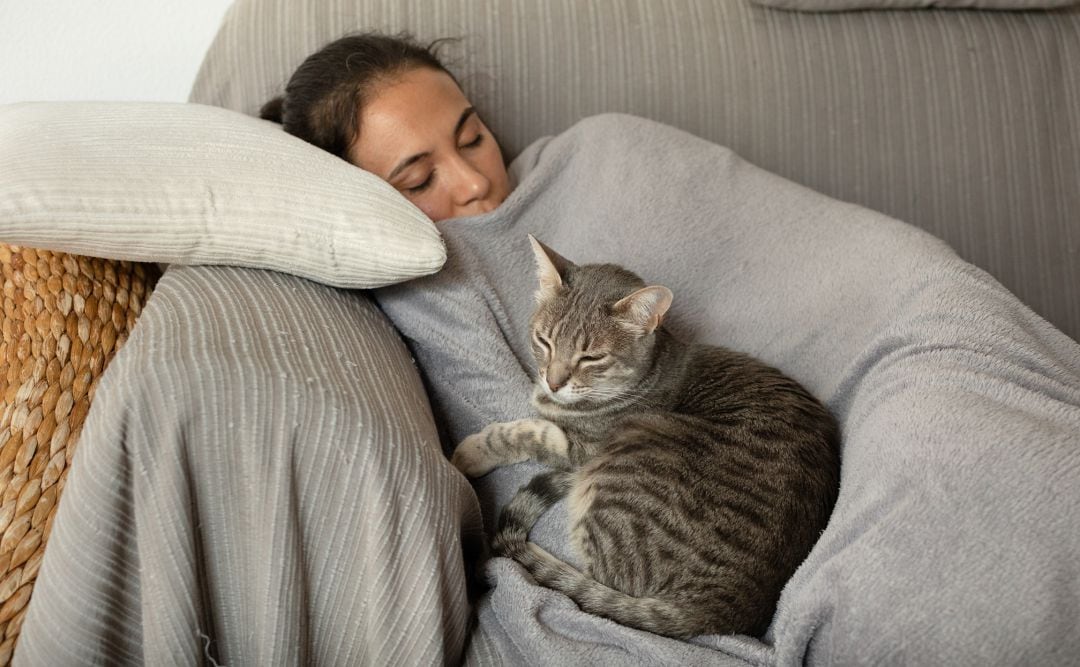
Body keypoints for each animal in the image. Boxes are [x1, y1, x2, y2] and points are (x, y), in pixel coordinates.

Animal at [451, 236, 838, 634]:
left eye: (591, 358)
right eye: (544, 341)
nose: (553, 382)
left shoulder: (582, 448)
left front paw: (471, 452)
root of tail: (719, 611)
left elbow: (529, 431)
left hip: (624, 462)